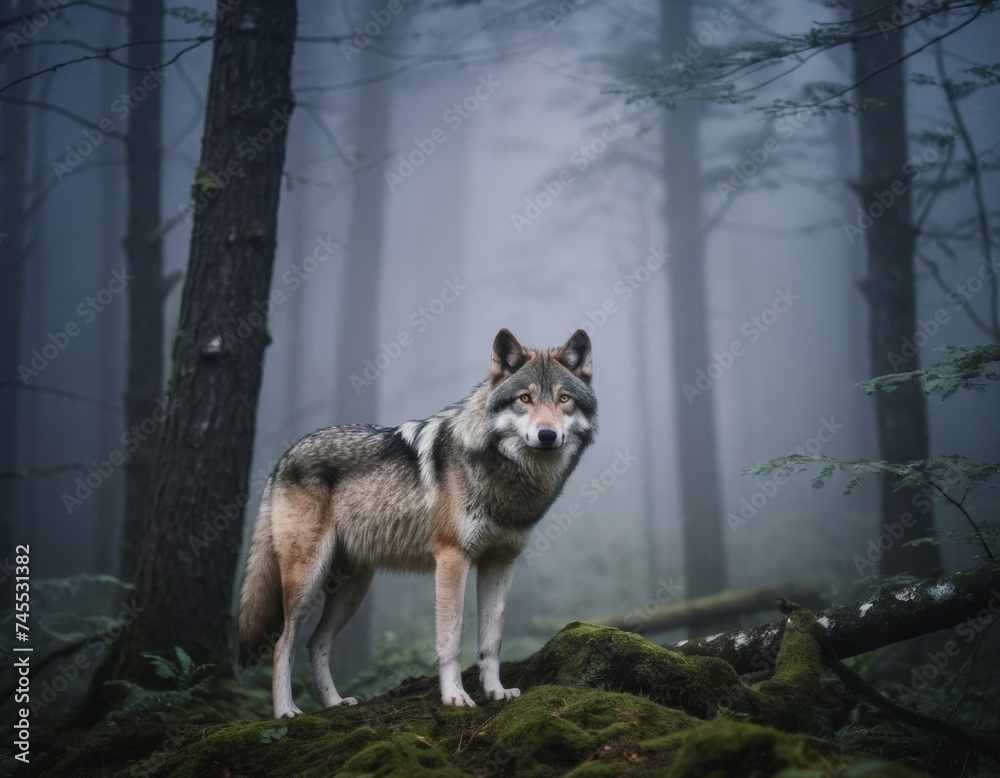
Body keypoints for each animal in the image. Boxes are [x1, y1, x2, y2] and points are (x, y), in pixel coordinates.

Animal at [238, 328, 597, 717]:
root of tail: (284, 457)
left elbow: (491, 642)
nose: (547, 435)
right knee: (282, 644)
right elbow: (451, 640)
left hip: (353, 589)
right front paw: (455, 697)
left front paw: (496, 691)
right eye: (525, 398)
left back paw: (334, 703)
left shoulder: (500, 562)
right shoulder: (452, 559)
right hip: (306, 579)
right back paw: (286, 711)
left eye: (564, 399)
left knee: (316, 643)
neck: (504, 477)